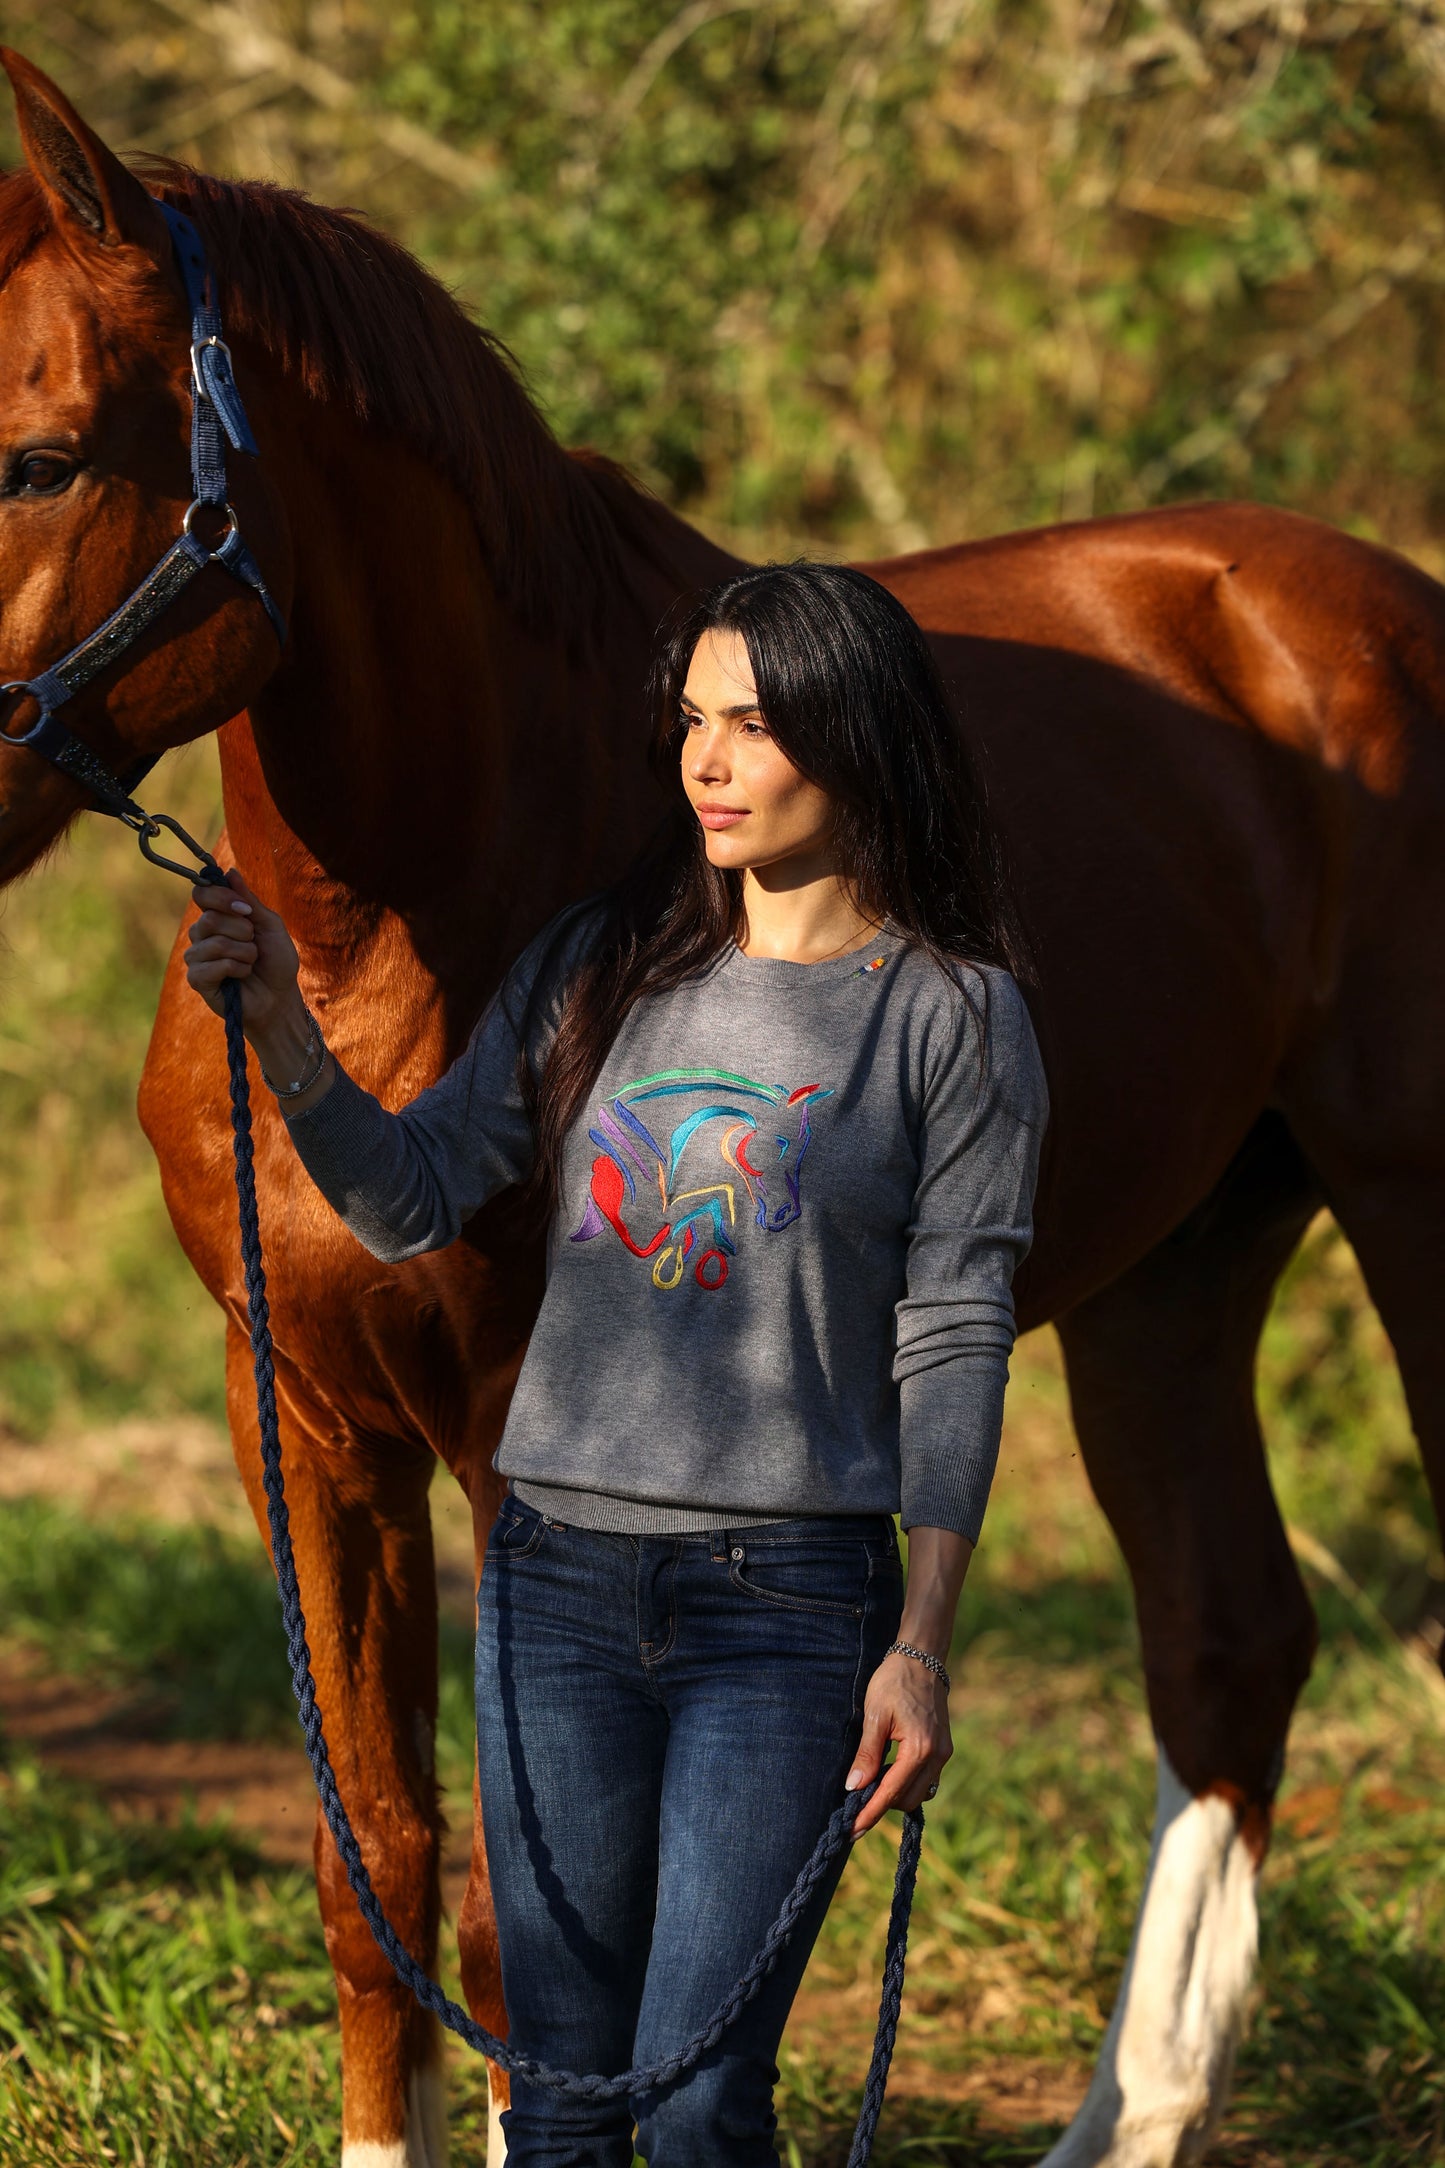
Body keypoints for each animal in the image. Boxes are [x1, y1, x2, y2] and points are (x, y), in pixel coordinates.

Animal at [0, 46, 1440, 2168]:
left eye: (36, 458)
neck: (402, 933)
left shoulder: (512, 1457)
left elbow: (535, 1938)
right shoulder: (315, 1430)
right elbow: (381, 1876)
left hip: (1411, 1213)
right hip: (1172, 1276)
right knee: (1226, 1641)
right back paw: (1135, 2112)